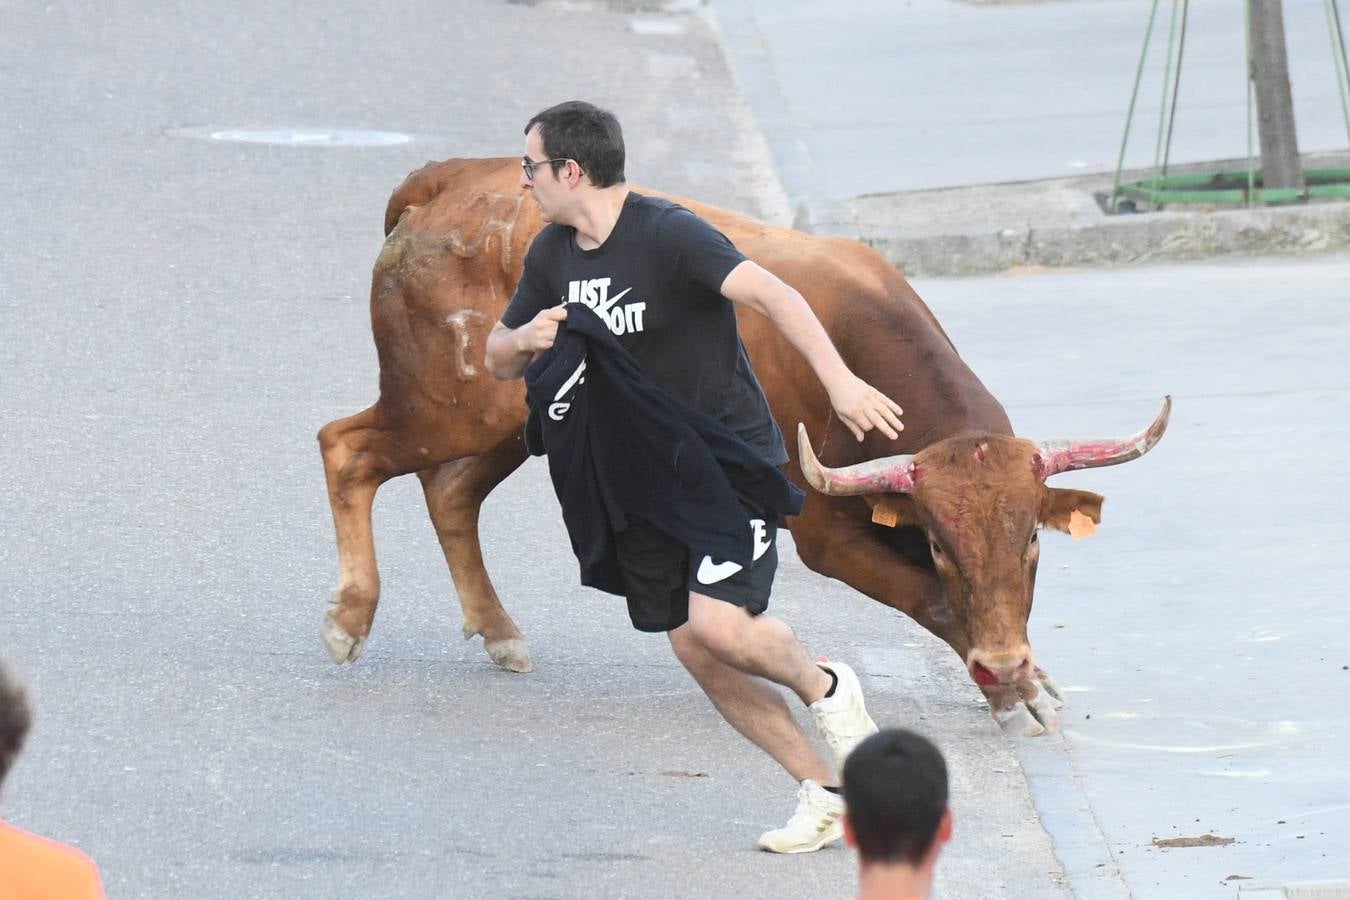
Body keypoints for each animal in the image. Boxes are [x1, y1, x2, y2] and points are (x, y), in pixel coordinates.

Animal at [318, 155, 1171, 734]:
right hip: (445, 405)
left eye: (1032, 540)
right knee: (348, 448)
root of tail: (455, 180)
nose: (1004, 658)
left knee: (450, 492)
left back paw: (497, 632)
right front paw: (1010, 694)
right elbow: (928, 600)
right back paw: (351, 618)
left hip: (508, 420)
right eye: (937, 543)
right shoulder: (824, 535)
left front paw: (1026, 680)